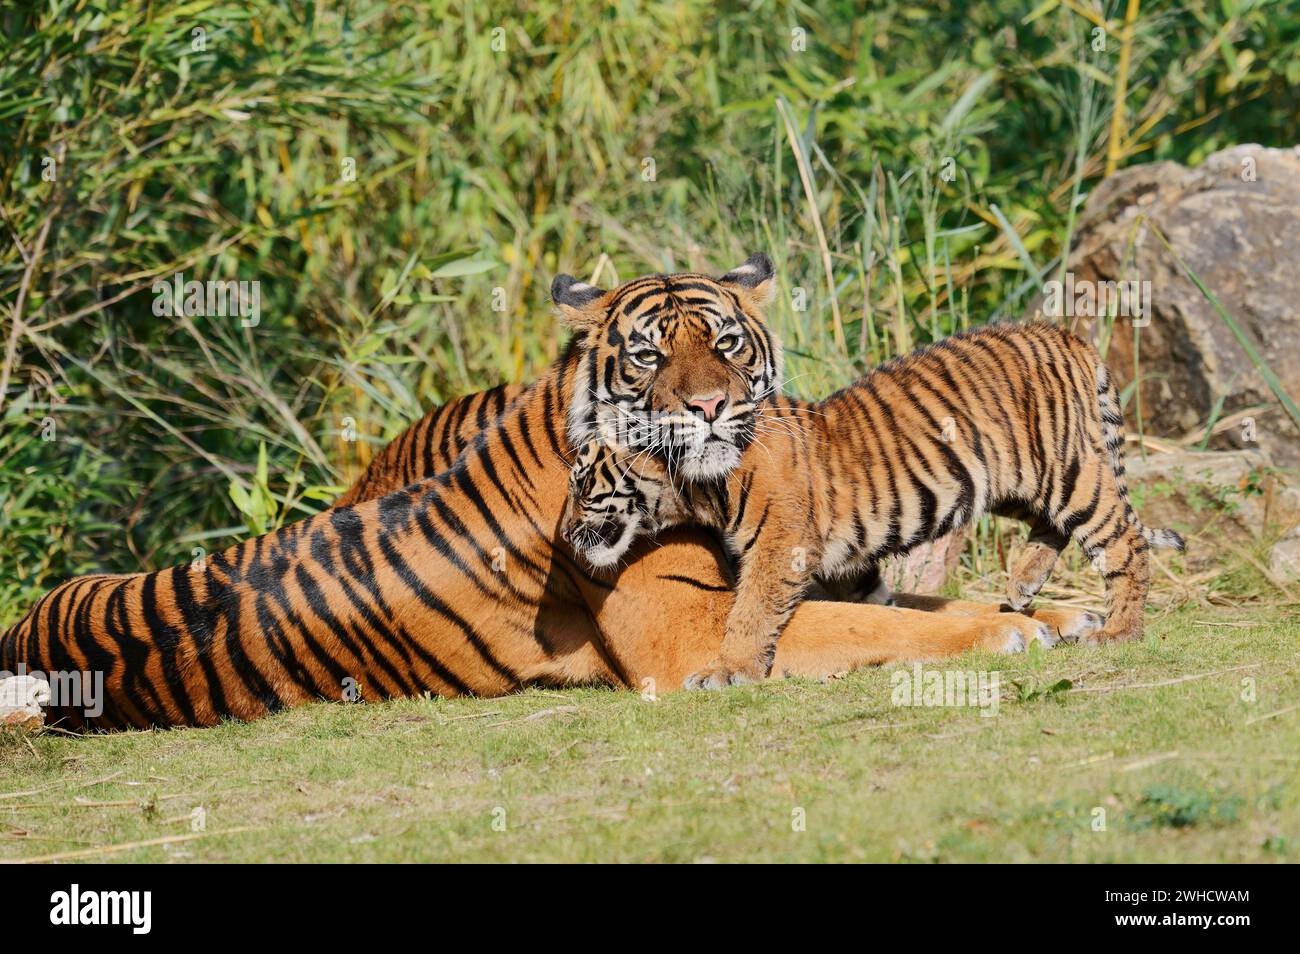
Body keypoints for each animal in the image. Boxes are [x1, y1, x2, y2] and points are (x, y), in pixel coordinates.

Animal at [0, 258, 1097, 730]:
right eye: (651, 355)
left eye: (726, 343)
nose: (708, 408)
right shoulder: (689, 635)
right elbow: (874, 623)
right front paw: (1010, 630)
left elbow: (904, 599)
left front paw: (1060, 612)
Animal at [557, 322, 1184, 689]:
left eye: (583, 480)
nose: (563, 533)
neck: (694, 483)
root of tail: (1063, 331)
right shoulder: (843, 562)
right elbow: (885, 608)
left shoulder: (781, 547)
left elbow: (752, 612)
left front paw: (727, 671)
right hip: (1015, 482)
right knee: (1050, 526)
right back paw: (1023, 585)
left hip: (1069, 470)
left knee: (1124, 540)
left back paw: (1119, 632)